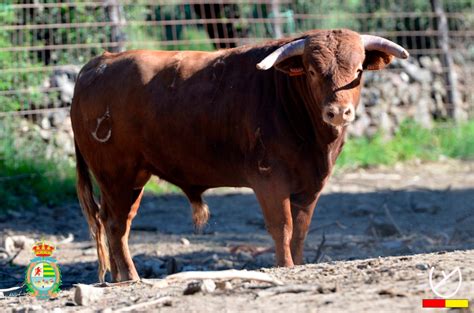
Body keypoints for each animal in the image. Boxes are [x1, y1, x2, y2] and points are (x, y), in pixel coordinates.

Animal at [70, 29, 408, 282]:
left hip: (131, 178)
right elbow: (282, 226)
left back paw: (117, 276)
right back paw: (130, 276)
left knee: (115, 221)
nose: (338, 112)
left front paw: (298, 263)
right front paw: (285, 266)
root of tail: (99, 62)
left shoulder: (310, 185)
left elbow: (300, 231)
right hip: (117, 175)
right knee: (116, 224)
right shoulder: (269, 179)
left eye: (359, 70)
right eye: (312, 71)